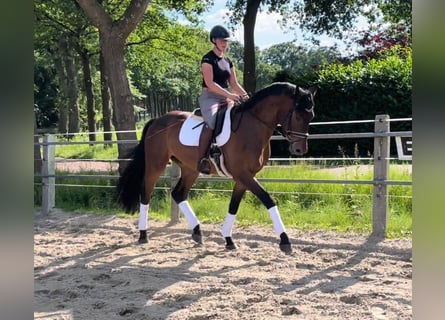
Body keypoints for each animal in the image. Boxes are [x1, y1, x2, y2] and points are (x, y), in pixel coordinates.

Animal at [116, 82, 314, 252]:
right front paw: (285, 240)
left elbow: (233, 206)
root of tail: (157, 120)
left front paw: (228, 239)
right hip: (156, 165)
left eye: (311, 117)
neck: (253, 126)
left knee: (178, 194)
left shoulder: (244, 176)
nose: (300, 150)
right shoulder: (242, 174)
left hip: (190, 169)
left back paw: (197, 233)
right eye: (298, 116)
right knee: (145, 194)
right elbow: (268, 199)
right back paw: (143, 234)